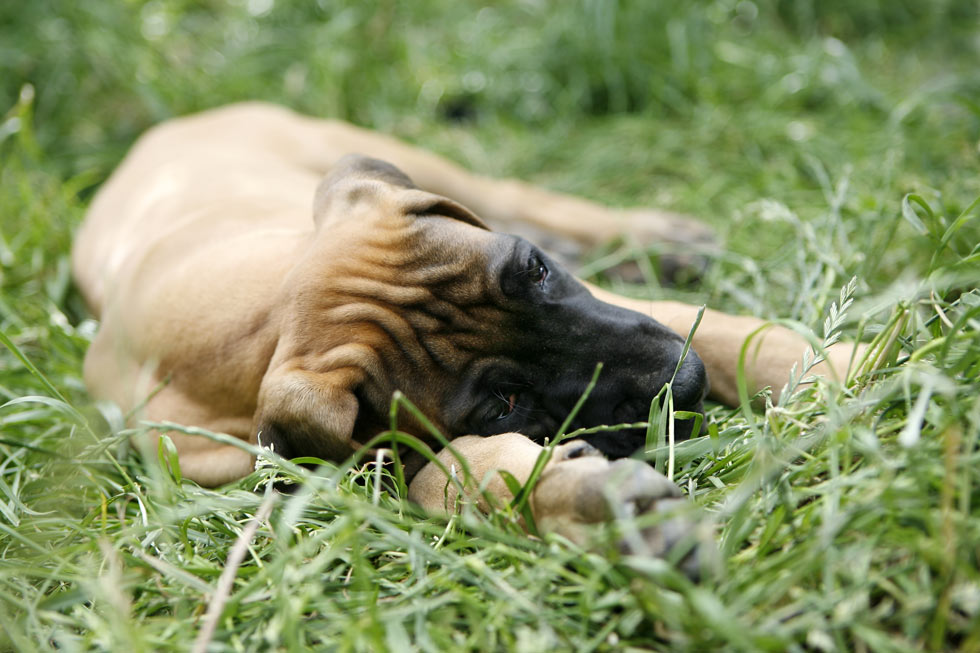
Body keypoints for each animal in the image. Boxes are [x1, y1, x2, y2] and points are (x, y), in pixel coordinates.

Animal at [72, 104, 860, 564]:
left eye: (534, 270)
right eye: (501, 404)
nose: (684, 384)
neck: (254, 322)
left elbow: (722, 331)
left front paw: (844, 364)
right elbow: (453, 474)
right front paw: (585, 506)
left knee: (519, 193)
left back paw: (658, 237)